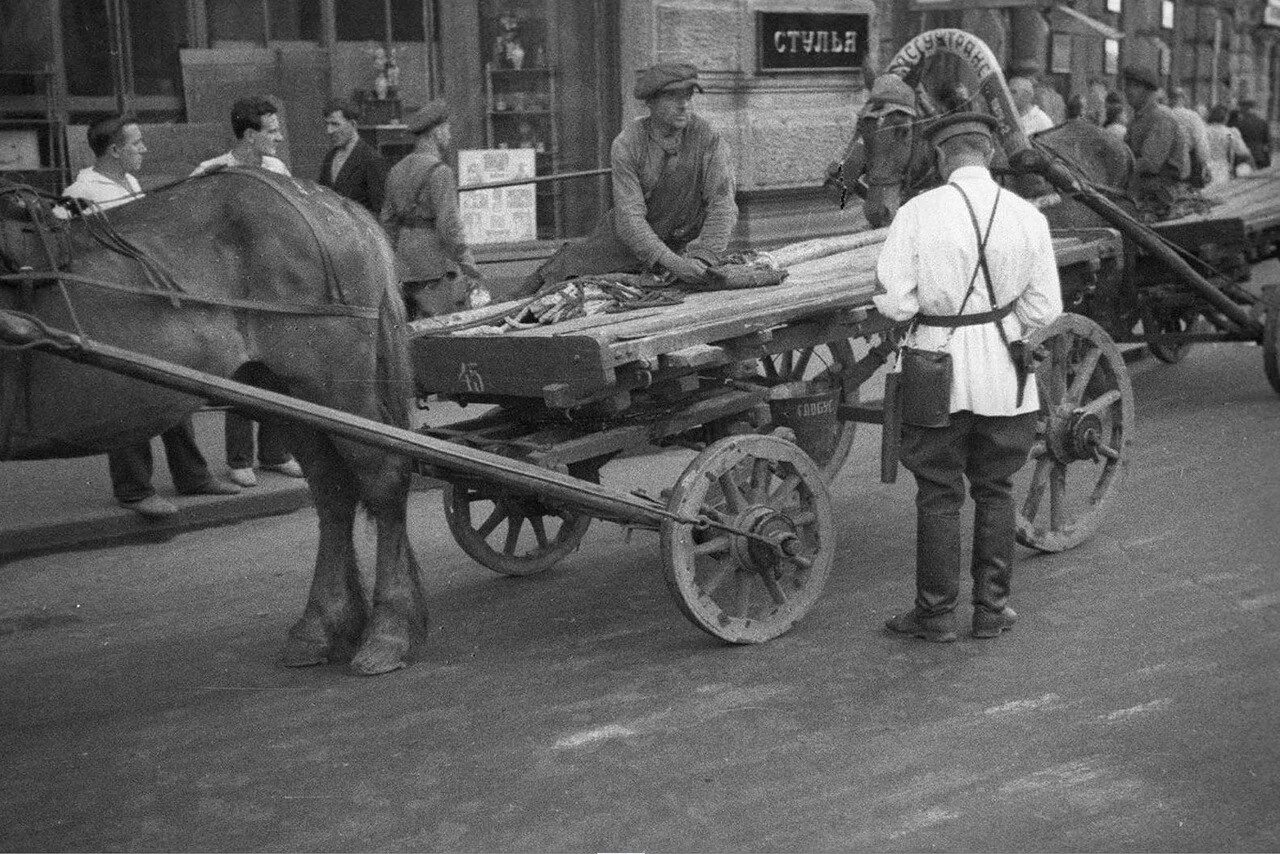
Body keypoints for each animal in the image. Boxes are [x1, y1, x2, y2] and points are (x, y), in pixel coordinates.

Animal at [1, 166, 430, 676]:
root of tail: (336, 204)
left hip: (334, 385)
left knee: (385, 478)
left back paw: (389, 629)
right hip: (287, 393)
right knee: (333, 492)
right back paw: (320, 626)